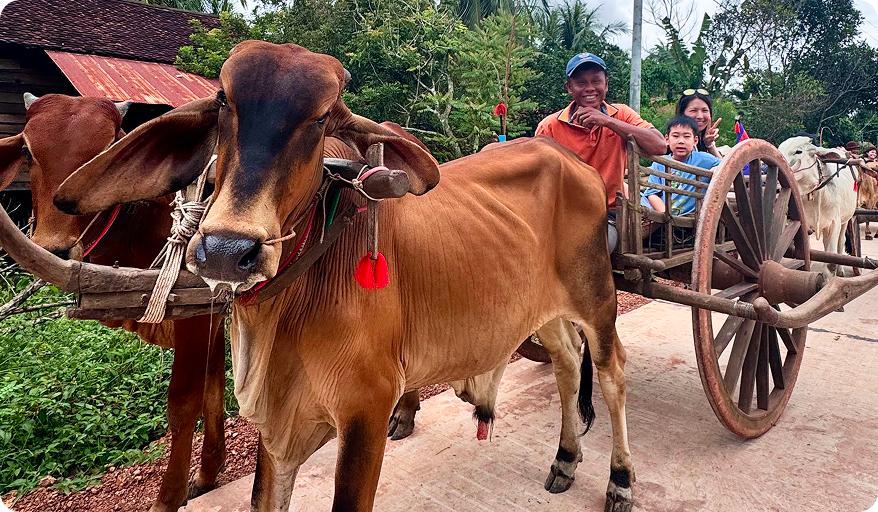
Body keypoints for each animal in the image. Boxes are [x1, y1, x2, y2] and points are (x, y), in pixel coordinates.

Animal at [0, 94, 226, 512]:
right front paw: (206, 474)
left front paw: (168, 498)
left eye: (107, 147)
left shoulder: (195, 314)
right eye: (26, 150)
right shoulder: (212, 312)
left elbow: (185, 405)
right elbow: (214, 386)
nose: (54, 247)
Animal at [55, 41, 635, 512]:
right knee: (567, 358)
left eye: (319, 120)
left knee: (611, 372)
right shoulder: (277, 428)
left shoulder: (365, 411)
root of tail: (569, 159)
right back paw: (565, 458)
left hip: (596, 295)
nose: (226, 250)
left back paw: (621, 480)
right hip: (540, 306)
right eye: (223, 102)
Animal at [778, 136, 858, 275]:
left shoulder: (834, 223)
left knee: (841, 242)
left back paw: (841, 270)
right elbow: (806, 253)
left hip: (846, 219)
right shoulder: (802, 223)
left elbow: (831, 262)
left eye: (798, 151)